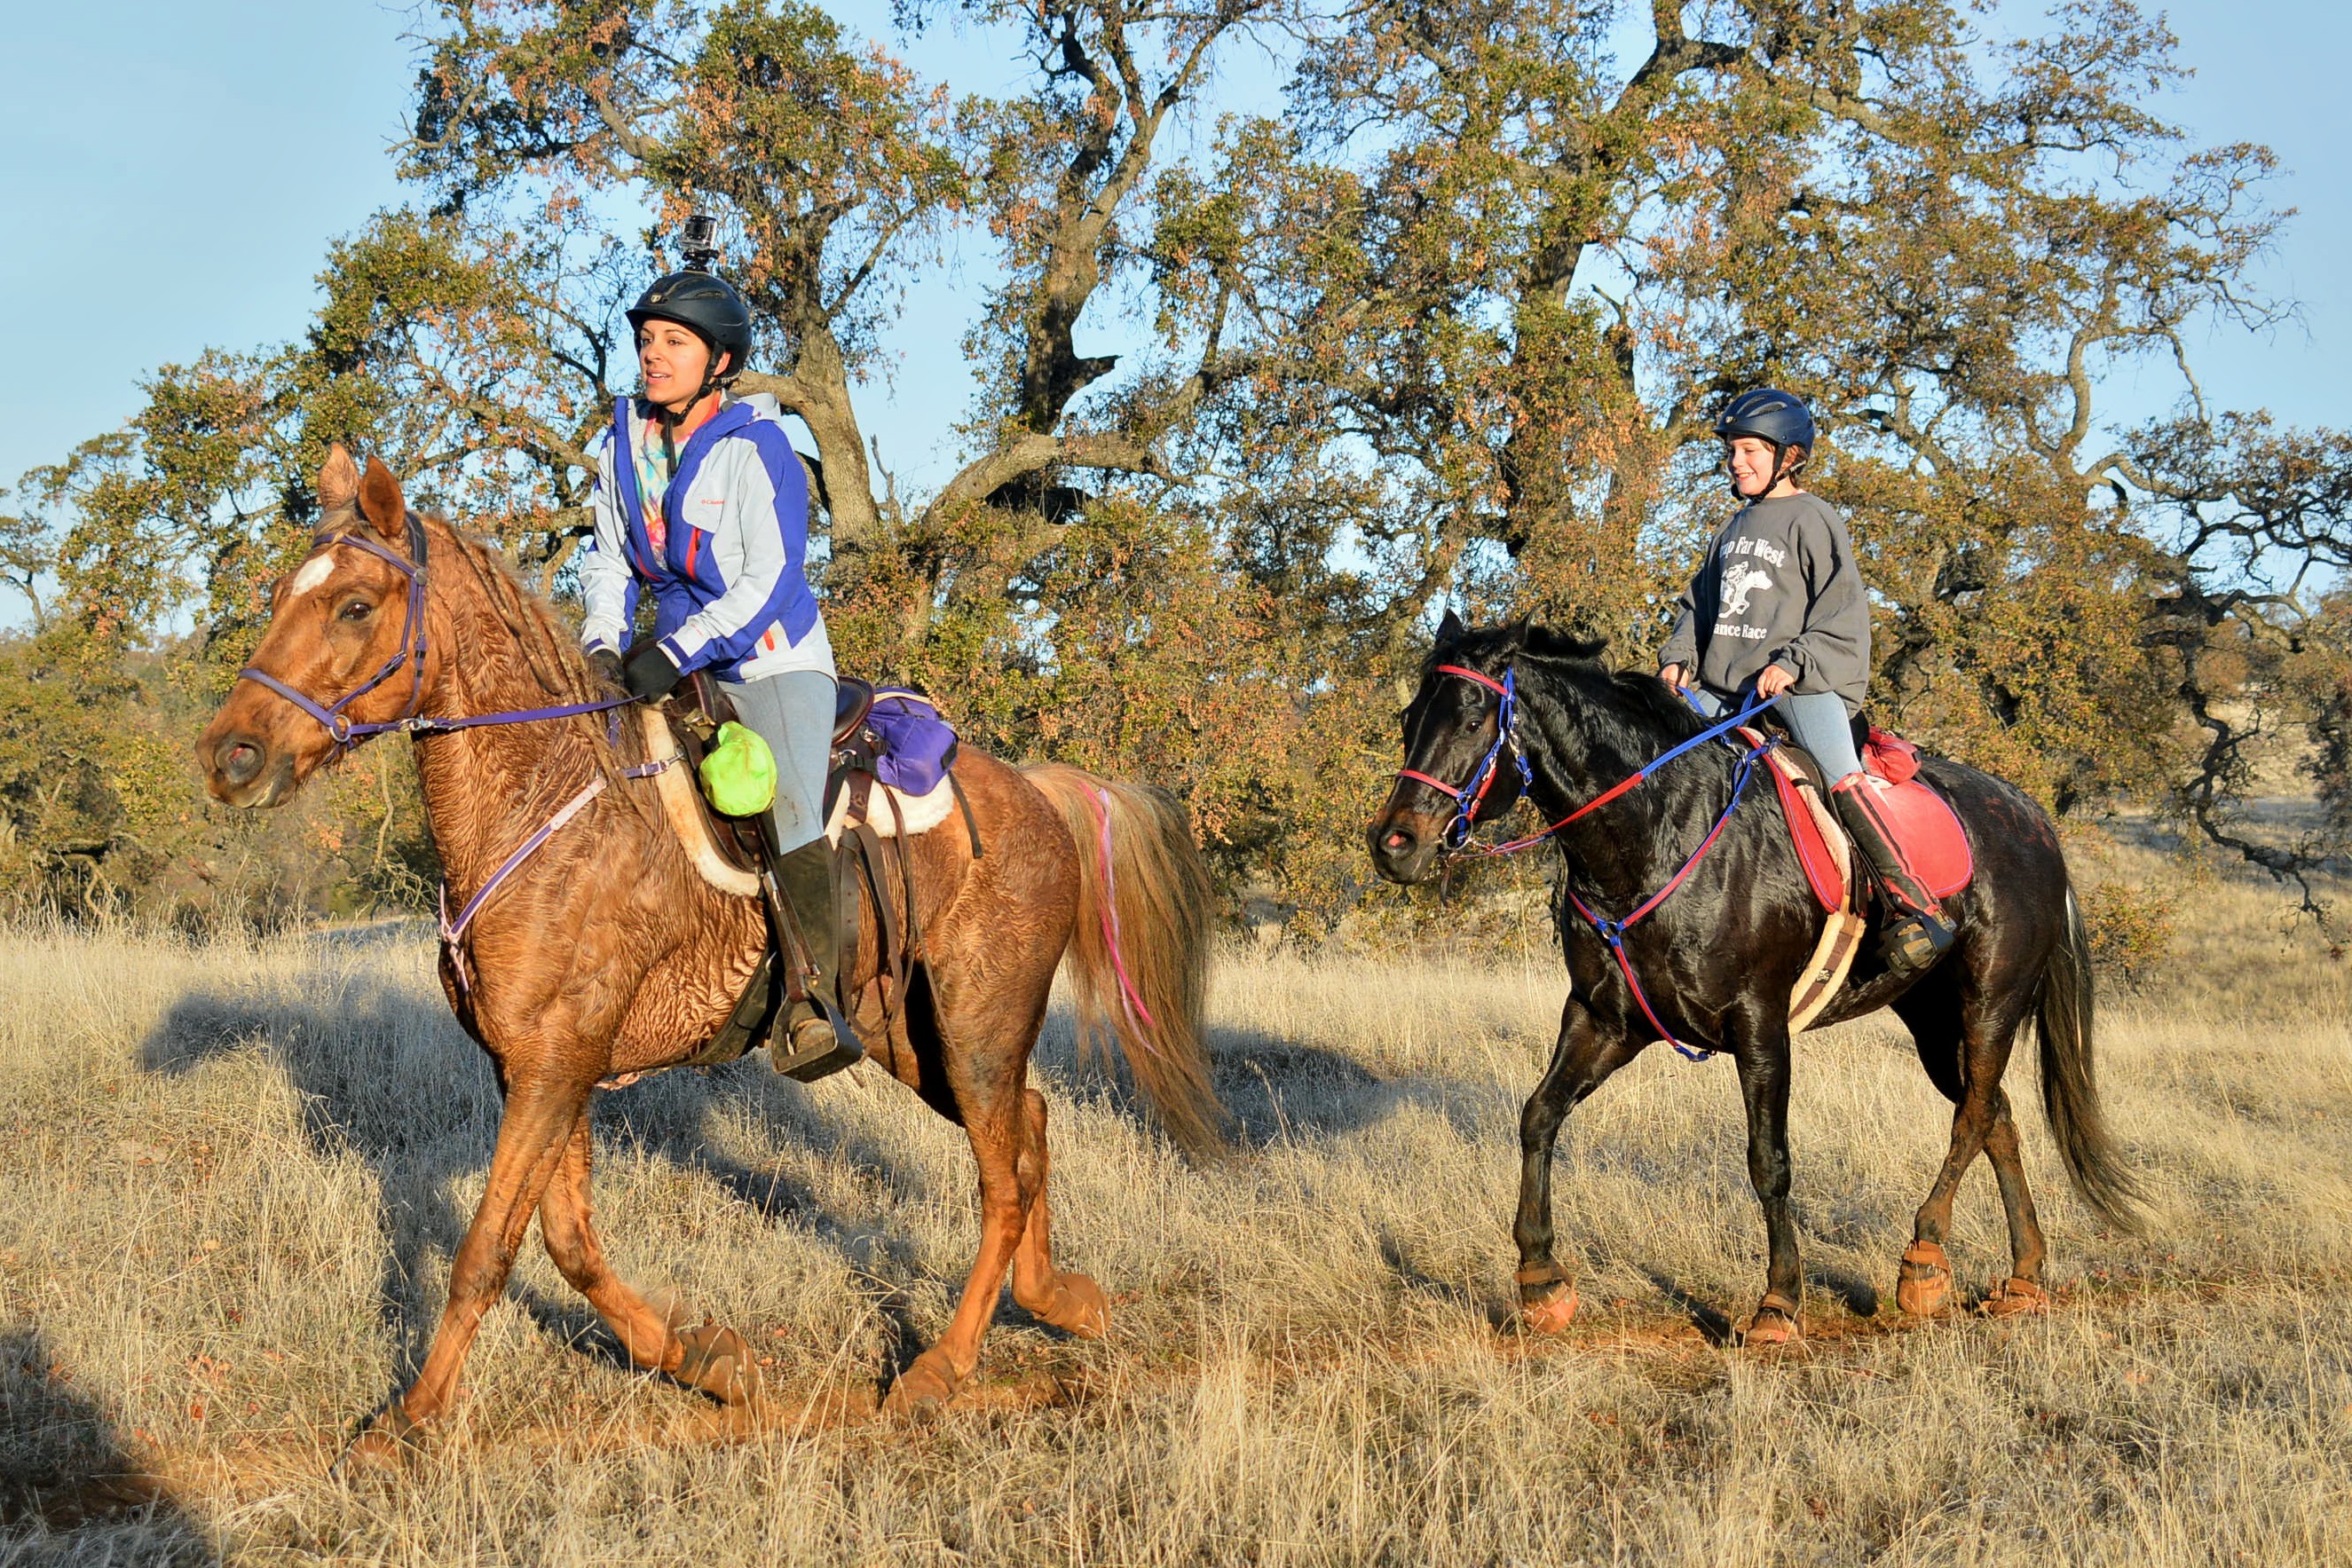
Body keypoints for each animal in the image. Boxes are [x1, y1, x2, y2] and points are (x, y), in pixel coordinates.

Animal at [194, 446, 1223, 1467]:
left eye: (353, 606)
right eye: (279, 592)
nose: (229, 755)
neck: (545, 799)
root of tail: (1039, 790)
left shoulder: (554, 1062)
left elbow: (486, 1249)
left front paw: (408, 1421)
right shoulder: (541, 1066)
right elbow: (567, 1240)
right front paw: (707, 1359)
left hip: (976, 1024)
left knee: (1000, 1178)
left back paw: (942, 1368)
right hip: (907, 1033)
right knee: (1030, 1127)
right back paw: (1062, 1301)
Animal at [1373, 620, 2144, 1344]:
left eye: (1473, 717)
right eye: (1410, 717)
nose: (1394, 845)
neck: (1656, 833)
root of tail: (2034, 819)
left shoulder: (1759, 1026)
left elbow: (1768, 1160)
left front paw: (1779, 1302)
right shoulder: (1604, 1019)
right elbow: (1538, 1115)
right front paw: (1540, 1279)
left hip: (1991, 1002)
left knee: (1975, 1115)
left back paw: (1925, 1259)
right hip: (1931, 1019)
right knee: (1999, 1118)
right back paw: (2025, 1274)